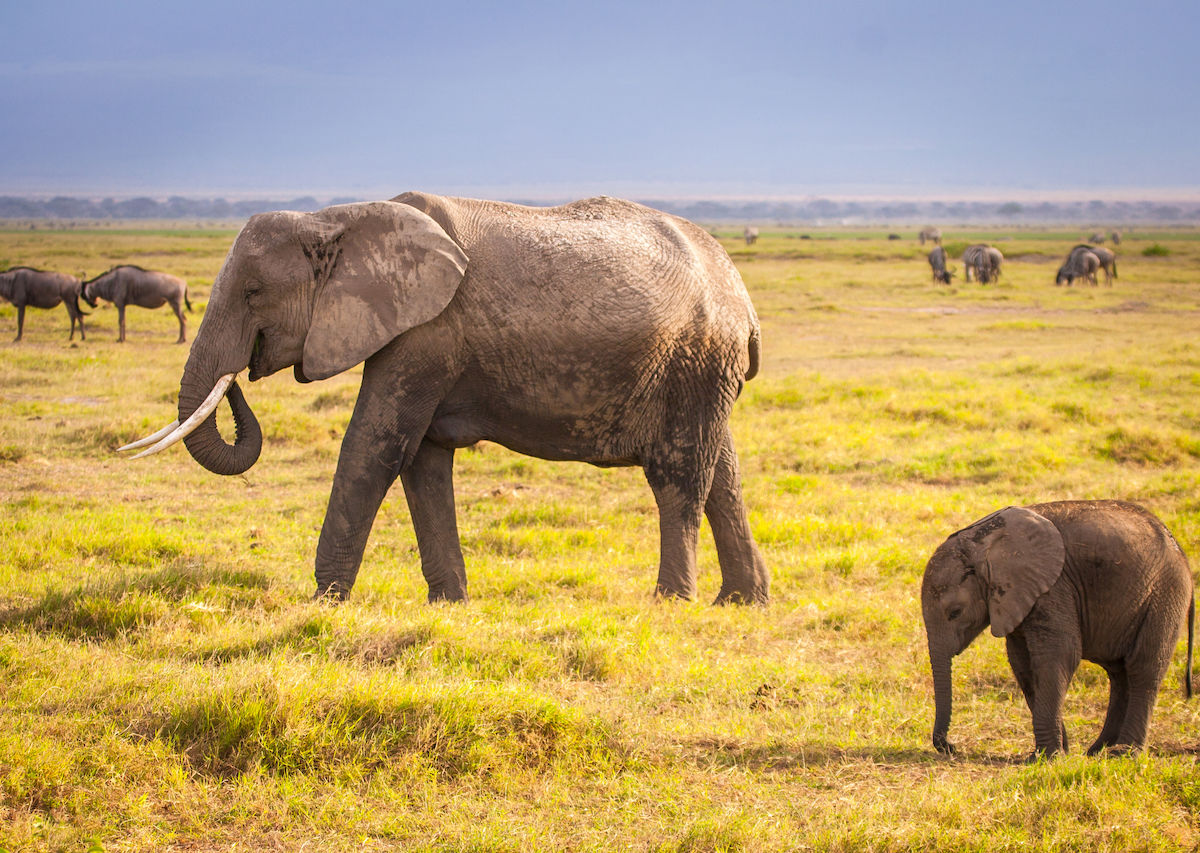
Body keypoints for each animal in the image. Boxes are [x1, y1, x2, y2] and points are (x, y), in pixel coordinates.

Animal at [122, 193, 769, 606]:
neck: (337, 217)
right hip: (704, 372)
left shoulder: (425, 333)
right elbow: (423, 460)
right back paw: (740, 602)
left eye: (254, 292)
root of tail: (742, 293)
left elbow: (376, 447)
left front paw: (324, 603)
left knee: (679, 474)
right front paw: (449, 604)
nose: (239, 377)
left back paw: (671, 603)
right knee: (722, 472)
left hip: (694, 358)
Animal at [922, 500, 1194, 759]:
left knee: (1144, 669)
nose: (951, 746)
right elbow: (1022, 664)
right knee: (1119, 674)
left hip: (1164, 594)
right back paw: (1097, 751)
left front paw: (1046, 757)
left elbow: (1059, 656)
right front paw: (1055, 751)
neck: (980, 543)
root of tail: (1182, 555)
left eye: (955, 612)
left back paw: (1123, 753)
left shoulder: (1053, 587)